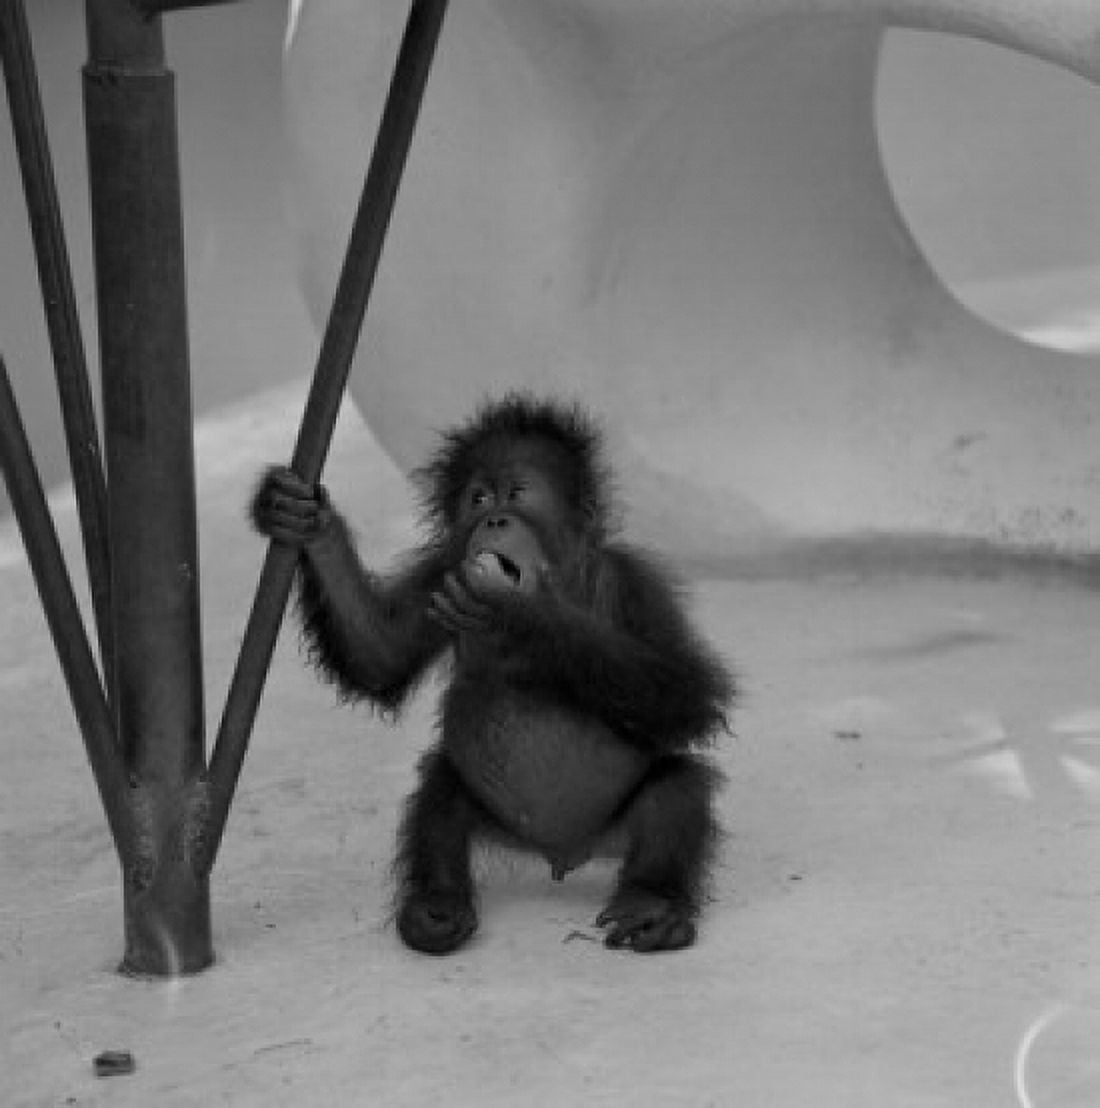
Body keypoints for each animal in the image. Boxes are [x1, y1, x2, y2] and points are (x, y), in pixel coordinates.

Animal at [251, 393, 733, 954]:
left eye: (519, 494)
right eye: (478, 499)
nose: (496, 520)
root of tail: (565, 851)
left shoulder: (634, 584)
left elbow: (685, 691)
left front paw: (520, 609)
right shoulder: (442, 573)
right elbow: (380, 655)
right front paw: (305, 518)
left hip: (616, 825)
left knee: (675, 789)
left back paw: (653, 909)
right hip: (494, 817)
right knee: (442, 793)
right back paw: (437, 907)